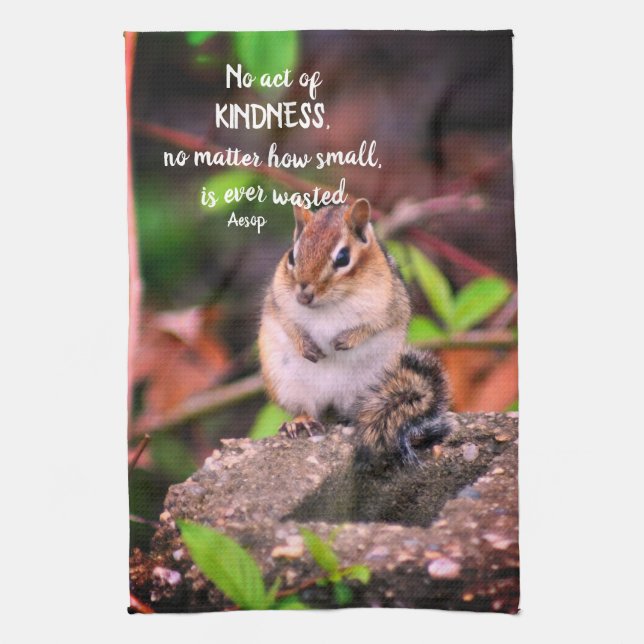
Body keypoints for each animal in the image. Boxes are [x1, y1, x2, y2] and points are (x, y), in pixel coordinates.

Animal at [258, 198, 453, 468]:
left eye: (343, 258)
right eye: (291, 256)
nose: (303, 295)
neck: (329, 304)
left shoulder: (391, 305)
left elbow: (375, 325)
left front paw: (347, 339)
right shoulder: (277, 302)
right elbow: (288, 323)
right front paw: (304, 345)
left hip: (373, 385)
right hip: (288, 383)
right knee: (307, 408)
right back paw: (301, 422)